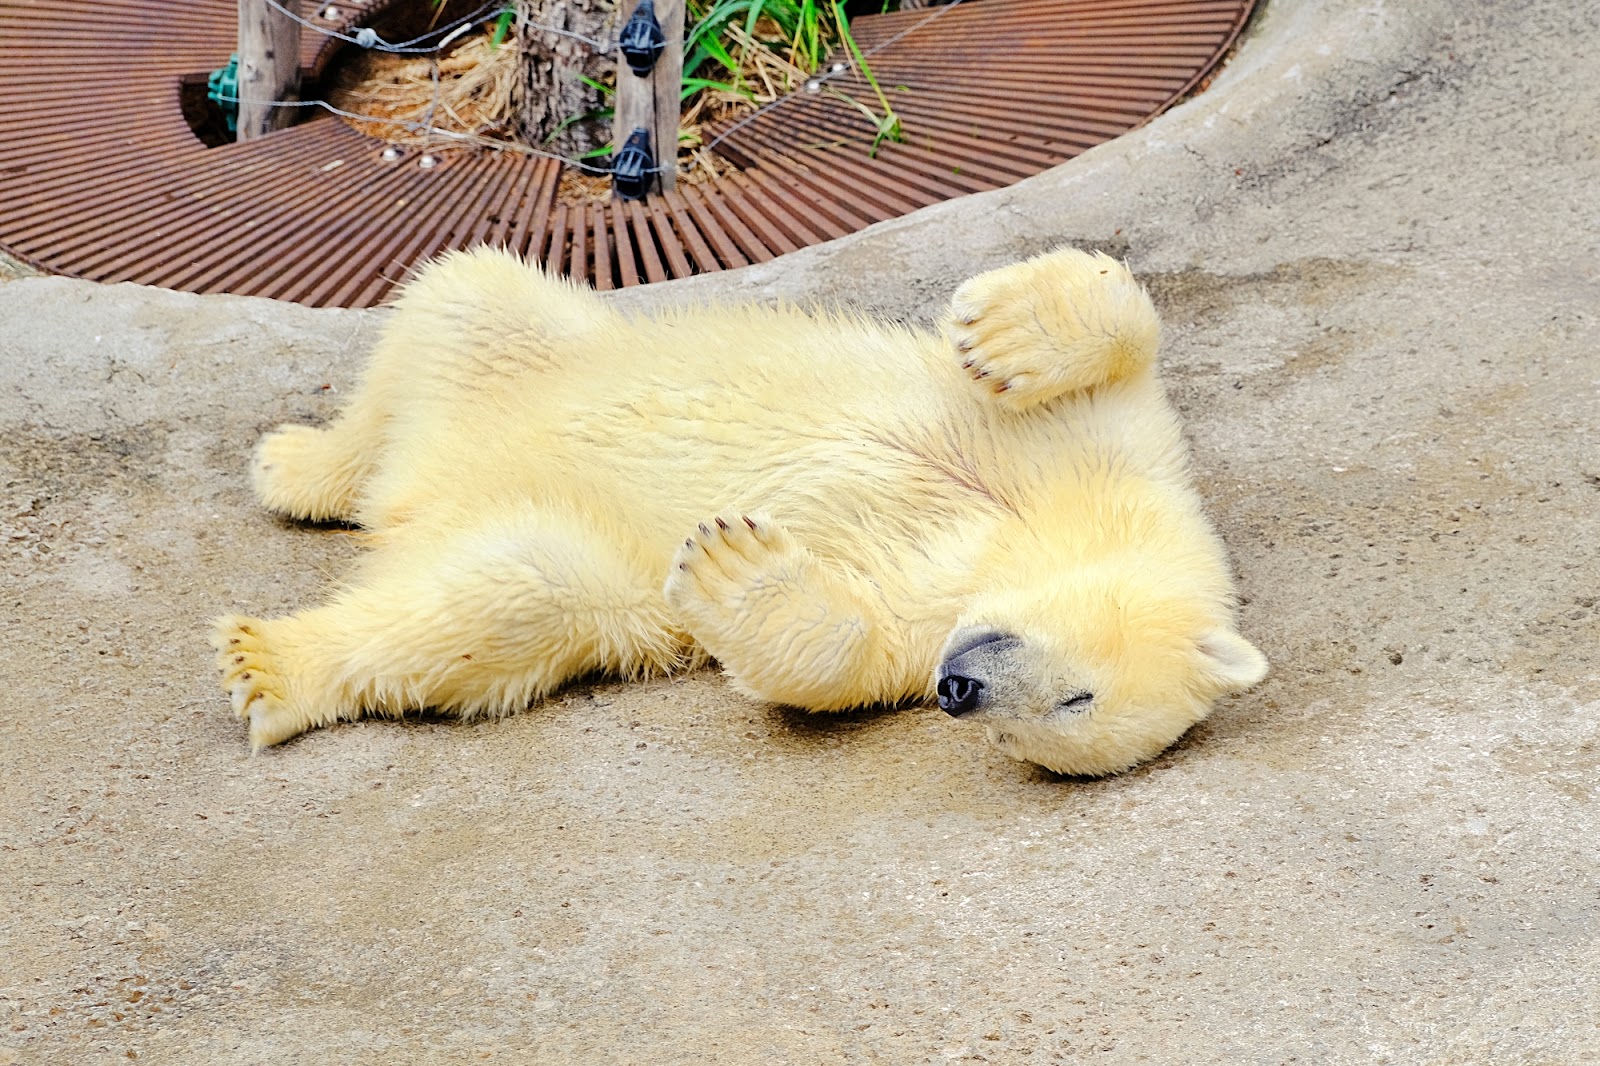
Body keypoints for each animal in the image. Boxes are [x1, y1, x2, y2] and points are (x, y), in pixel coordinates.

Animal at [216, 240, 1260, 771]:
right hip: (537, 350)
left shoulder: (920, 626)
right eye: (1080, 695)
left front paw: (731, 561)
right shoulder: (1121, 457)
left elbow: (844, 654)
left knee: (506, 593)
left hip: (562, 543)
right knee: (465, 296)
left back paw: (272, 660)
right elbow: (1126, 331)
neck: (1032, 532)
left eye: (1044, 732)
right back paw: (301, 463)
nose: (960, 691)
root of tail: (417, 489)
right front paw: (998, 333)